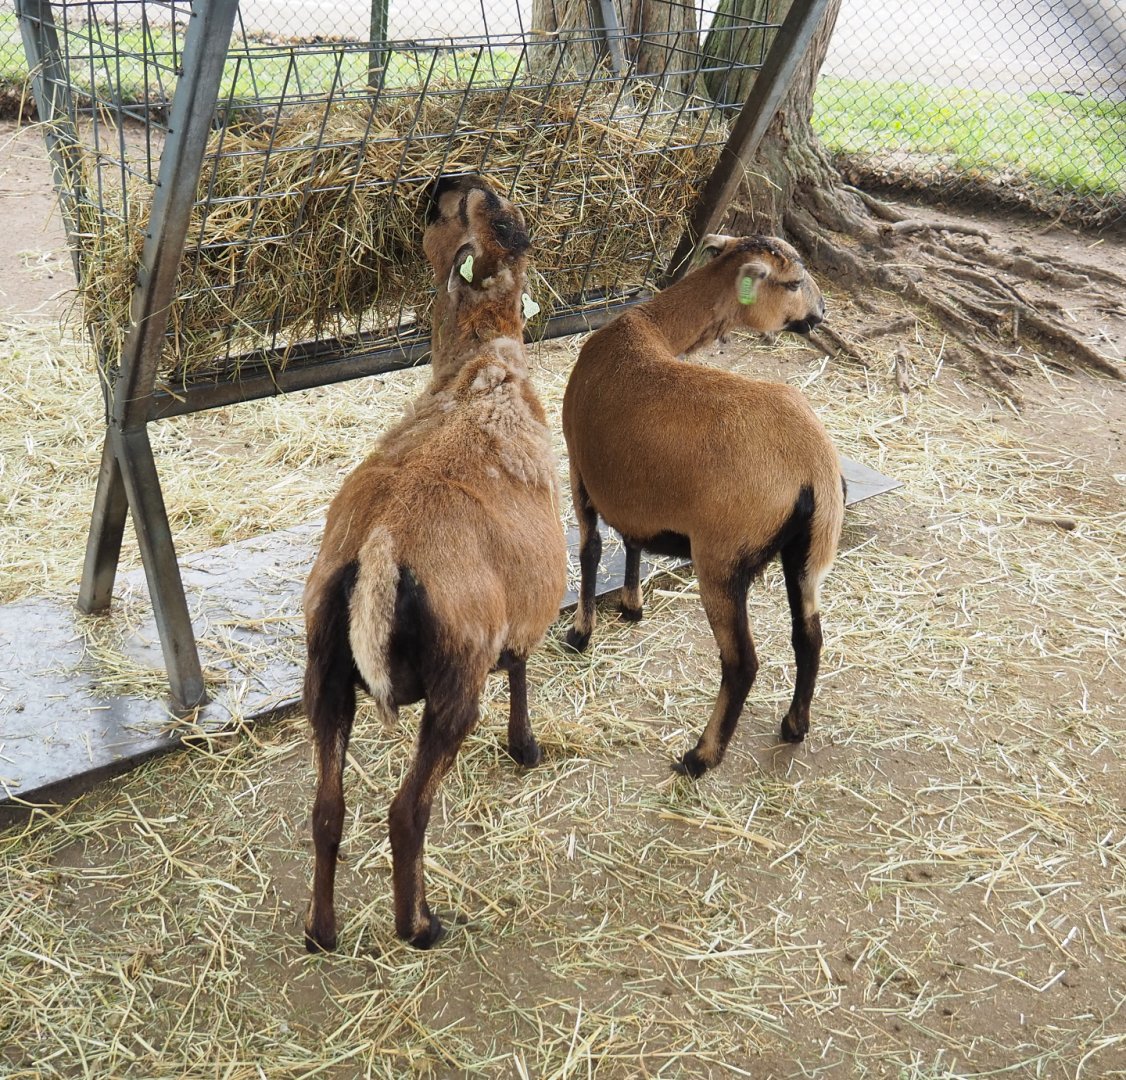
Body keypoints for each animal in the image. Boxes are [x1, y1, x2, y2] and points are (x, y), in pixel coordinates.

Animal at [302, 174, 568, 951]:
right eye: (490, 207)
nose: (443, 180)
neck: (483, 365)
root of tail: (382, 546)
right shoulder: (523, 609)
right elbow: (523, 665)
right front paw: (525, 746)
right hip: (453, 683)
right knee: (405, 811)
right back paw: (419, 923)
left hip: (325, 672)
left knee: (327, 811)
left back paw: (321, 932)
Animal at [561, 233, 843, 778]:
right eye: (793, 282)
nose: (820, 315)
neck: (648, 326)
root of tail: (814, 465)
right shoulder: (630, 488)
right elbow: (629, 541)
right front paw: (631, 606)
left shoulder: (578, 467)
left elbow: (590, 550)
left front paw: (579, 633)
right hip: (805, 553)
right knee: (809, 637)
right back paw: (794, 725)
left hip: (721, 559)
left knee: (742, 663)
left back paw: (701, 756)